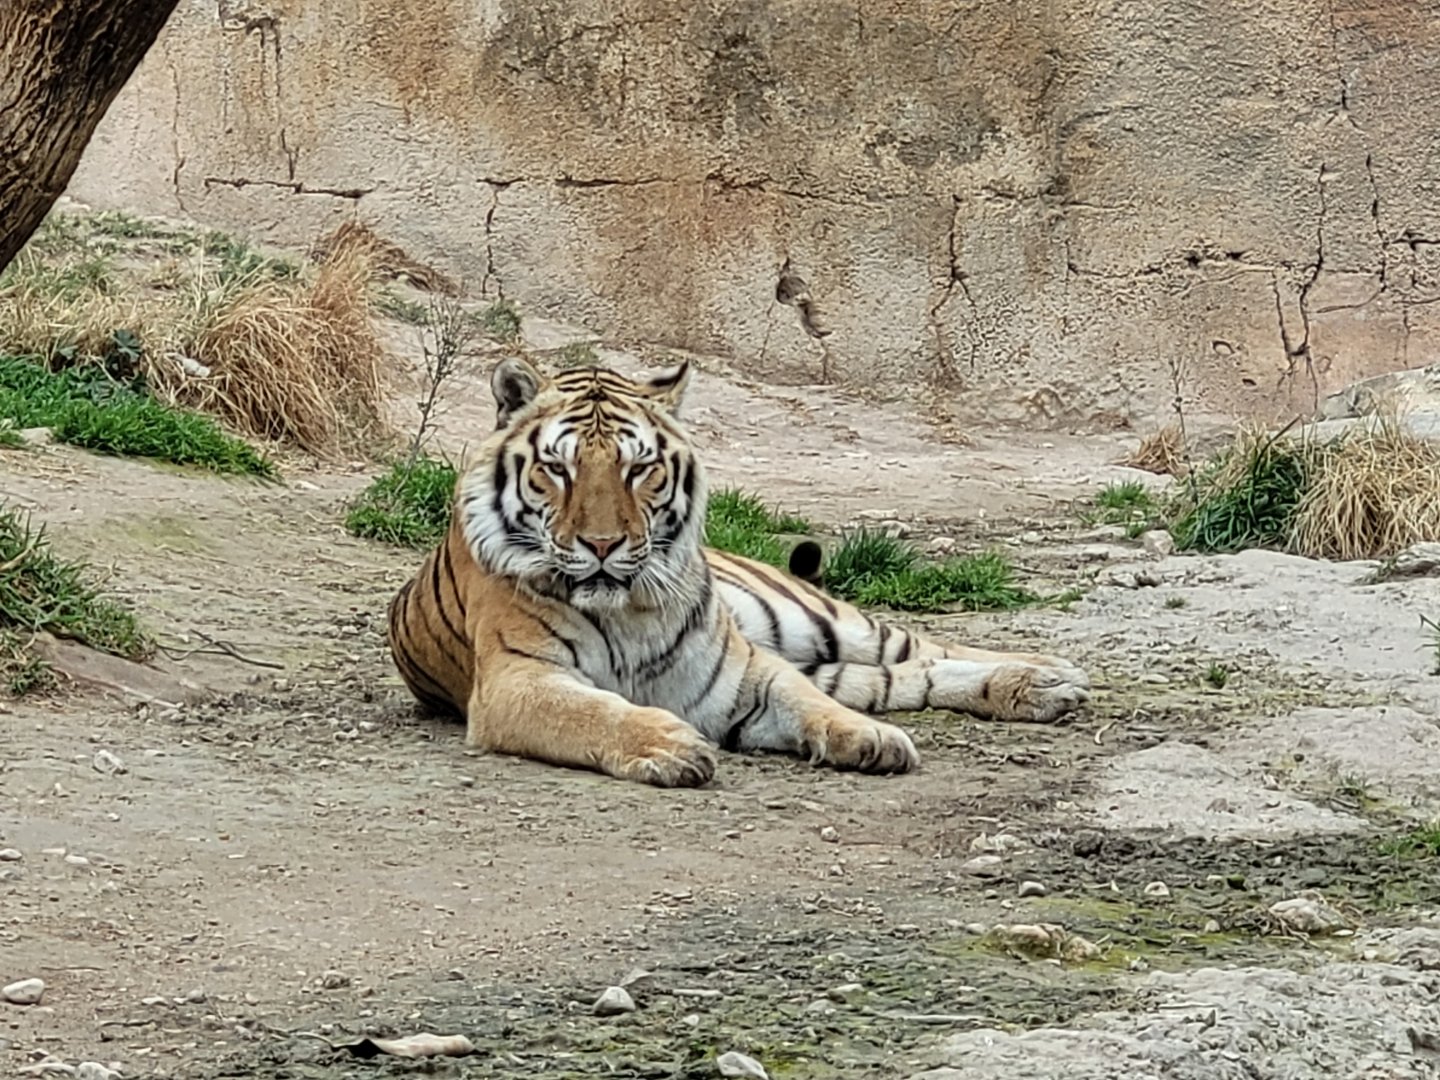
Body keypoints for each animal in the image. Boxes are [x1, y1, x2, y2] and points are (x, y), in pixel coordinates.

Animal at [385, 357, 1091, 788]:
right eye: (558, 468)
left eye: (638, 468)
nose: (603, 544)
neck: (628, 609)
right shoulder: (517, 682)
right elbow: (594, 713)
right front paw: (669, 746)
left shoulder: (744, 669)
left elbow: (807, 703)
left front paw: (868, 737)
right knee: (897, 676)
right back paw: (1042, 687)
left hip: (812, 619)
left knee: (918, 645)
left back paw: (1049, 675)